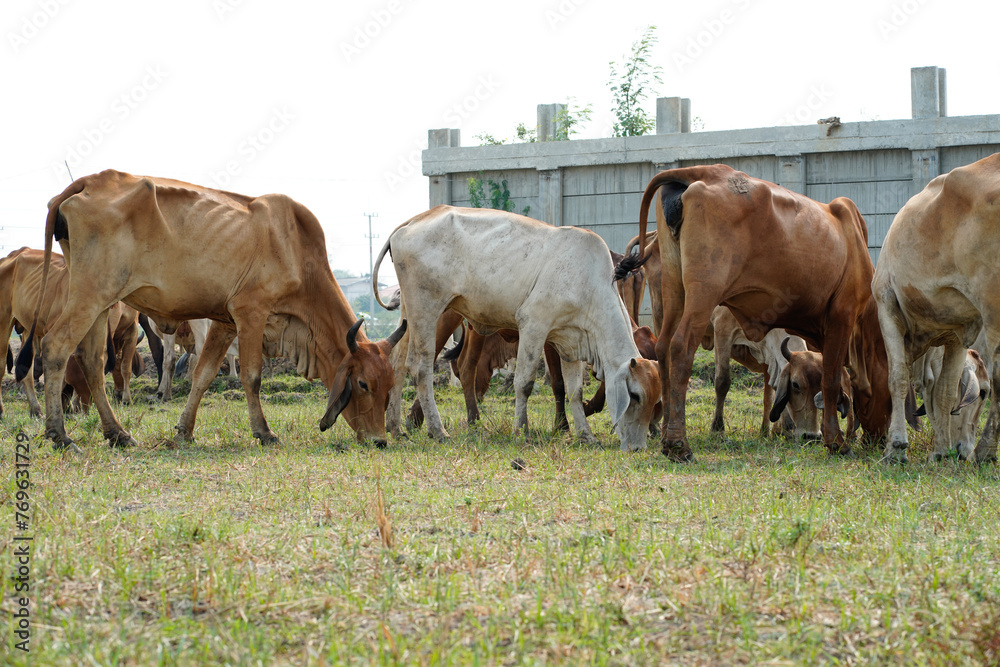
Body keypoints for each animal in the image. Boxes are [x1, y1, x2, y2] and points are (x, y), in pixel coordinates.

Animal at [17, 172, 404, 452]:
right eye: (363, 384)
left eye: (390, 385)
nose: (379, 441)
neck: (297, 250)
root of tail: (89, 181)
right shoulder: (251, 312)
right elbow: (251, 376)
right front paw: (264, 432)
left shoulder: (225, 321)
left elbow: (202, 375)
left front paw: (184, 431)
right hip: (91, 294)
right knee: (55, 348)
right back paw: (59, 434)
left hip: (101, 303)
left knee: (93, 362)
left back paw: (118, 434)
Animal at [372, 206, 660, 452]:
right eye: (635, 396)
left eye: (656, 402)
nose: (638, 448)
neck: (589, 283)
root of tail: (411, 222)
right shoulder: (534, 326)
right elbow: (524, 383)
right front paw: (522, 430)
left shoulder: (570, 341)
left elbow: (575, 391)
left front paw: (586, 435)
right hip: (427, 309)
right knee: (420, 368)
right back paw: (438, 430)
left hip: (409, 313)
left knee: (398, 364)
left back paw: (396, 428)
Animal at [616, 164, 892, 462]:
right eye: (891, 394)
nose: (878, 439)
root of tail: (700, 171)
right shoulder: (842, 317)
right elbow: (831, 380)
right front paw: (836, 442)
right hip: (703, 293)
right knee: (681, 348)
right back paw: (678, 444)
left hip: (674, 289)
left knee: (664, 347)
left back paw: (666, 431)